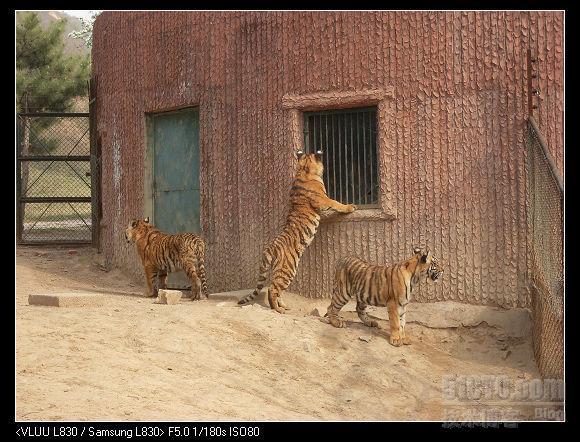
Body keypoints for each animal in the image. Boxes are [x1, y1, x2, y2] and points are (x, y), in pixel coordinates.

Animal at [237, 150, 356, 312]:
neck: (303, 171)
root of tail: (271, 247)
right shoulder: (323, 200)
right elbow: (336, 203)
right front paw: (350, 207)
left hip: (280, 271)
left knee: (277, 290)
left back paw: (284, 306)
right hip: (288, 270)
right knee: (272, 289)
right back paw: (278, 310)